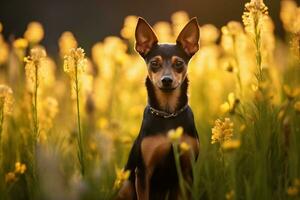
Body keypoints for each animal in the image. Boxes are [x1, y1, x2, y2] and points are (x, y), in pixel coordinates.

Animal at [116, 17, 200, 200]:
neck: (168, 114)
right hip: (126, 186)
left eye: (179, 63)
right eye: (154, 63)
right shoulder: (143, 172)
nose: (166, 80)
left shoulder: (187, 172)